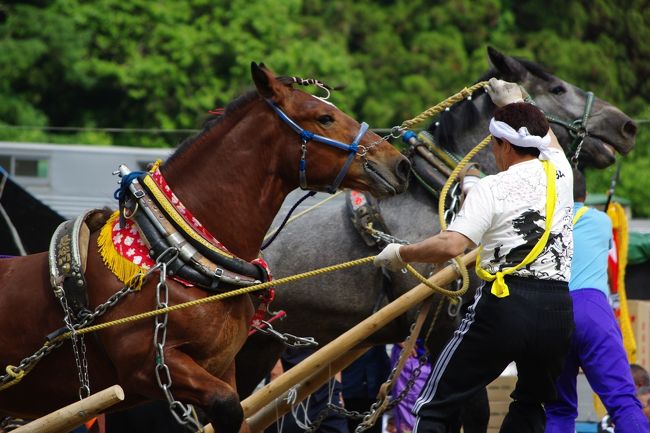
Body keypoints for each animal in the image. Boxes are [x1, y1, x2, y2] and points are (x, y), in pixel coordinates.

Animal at [0, 63, 408, 432]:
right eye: (324, 117)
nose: (400, 164)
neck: (175, 255)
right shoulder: (148, 367)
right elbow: (228, 407)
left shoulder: (222, 366)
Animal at [233, 45, 632, 430]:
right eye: (557, 89)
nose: (626, 126)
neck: (433, 192)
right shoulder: (445, 328)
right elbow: (469, 410)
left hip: (263, 341)